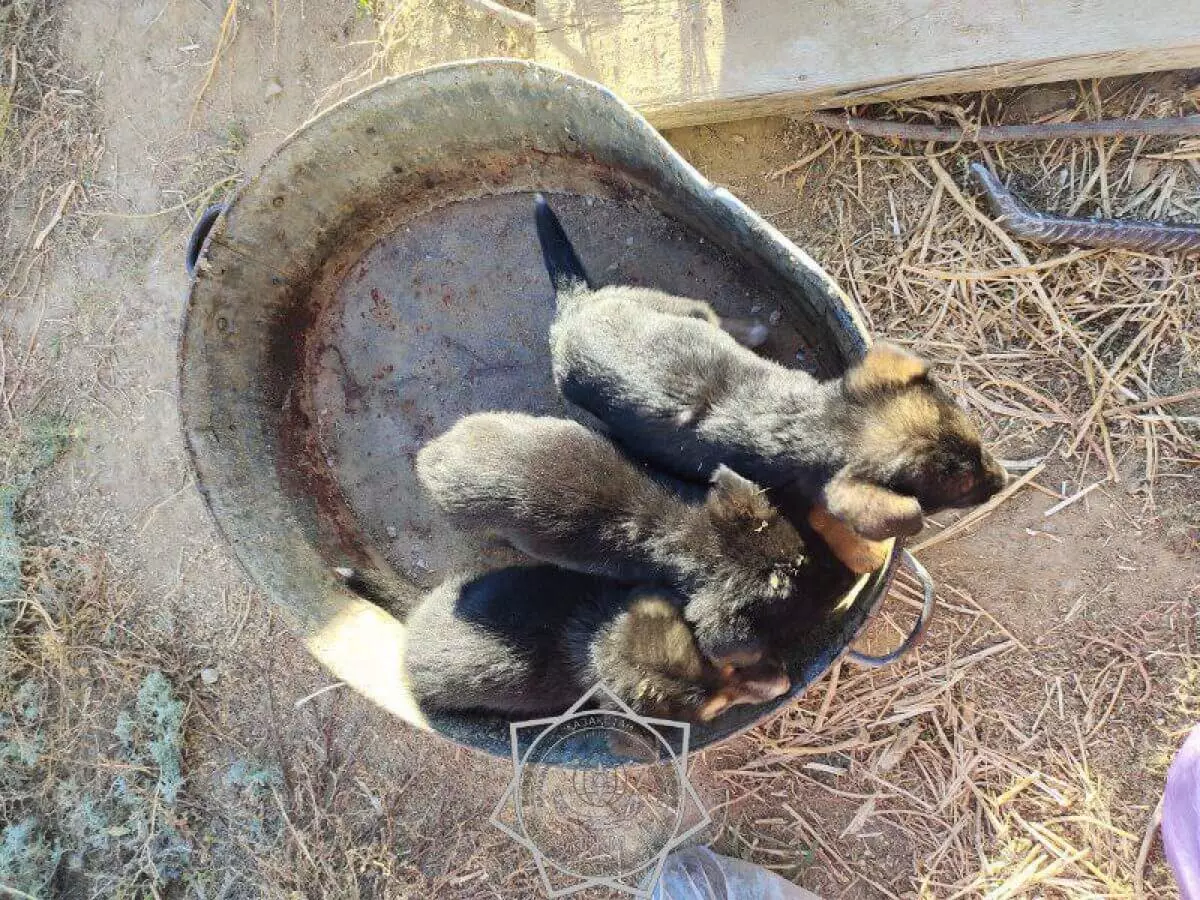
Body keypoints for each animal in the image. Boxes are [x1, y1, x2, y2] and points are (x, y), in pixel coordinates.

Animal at [535, 193, 1003, 540]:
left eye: (979, 443)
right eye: (961, 486)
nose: (999, 482)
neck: (820, 421)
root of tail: (575, 307)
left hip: (672, 306)